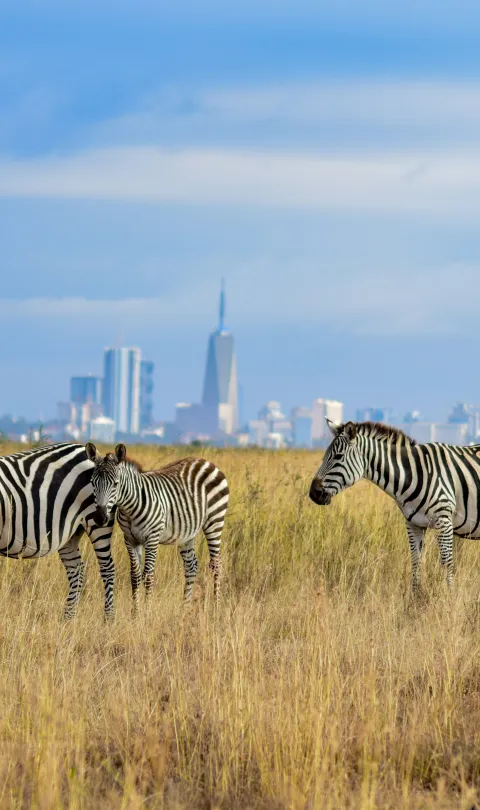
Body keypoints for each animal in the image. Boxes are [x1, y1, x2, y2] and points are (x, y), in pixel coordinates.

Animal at [0, 442, 115, 617]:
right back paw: (67, 618)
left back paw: (108, 619)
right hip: (70, 534)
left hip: (98, 523)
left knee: (107, 568)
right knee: (76, 570)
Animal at [85, 443, 229, 609]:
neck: (130, 508)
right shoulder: (130, 539)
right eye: (92, 483)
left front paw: (147, 611)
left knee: (217, 564)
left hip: (215, 521)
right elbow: (135, 576)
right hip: (186, 532)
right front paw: (135, 612)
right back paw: (185, 608)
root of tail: (205, 461)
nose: (100, 518)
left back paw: (216, 606)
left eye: (115, 484)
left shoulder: (152, 538)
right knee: (191, 567)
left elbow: (148, 576)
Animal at [309, 419, 480, 592]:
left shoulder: (444, 520)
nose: (313, 493)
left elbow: (447, 564)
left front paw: (449, 596)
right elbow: (416, 562)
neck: (415, 474)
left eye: (338, 457)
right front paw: (415, 597)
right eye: (324, 456)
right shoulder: (413, 523)